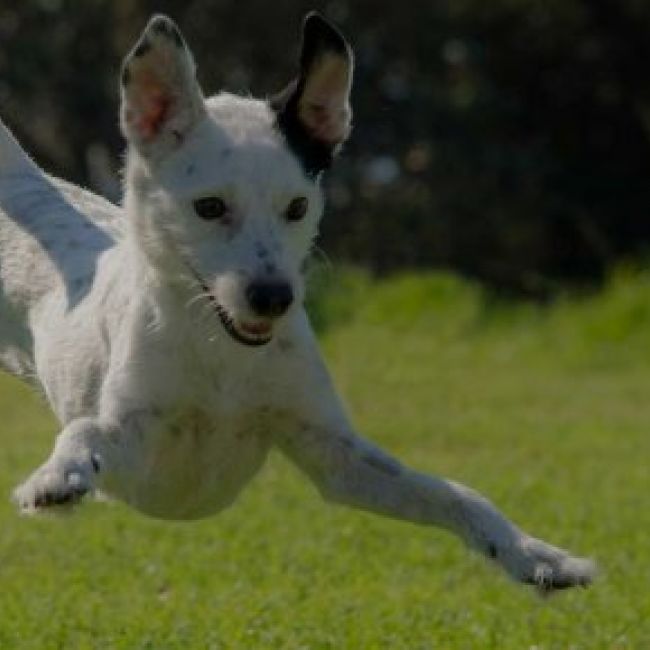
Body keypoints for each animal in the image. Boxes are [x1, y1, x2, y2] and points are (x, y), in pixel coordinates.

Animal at [0, 13, 596, 592]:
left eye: (298, 206)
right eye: (209, 207)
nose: (273, 298)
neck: (221, 352)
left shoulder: (335, 454)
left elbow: (453, 492)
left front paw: (534, 555)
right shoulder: (136, 447)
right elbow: (85, 432)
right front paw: (58, 476)